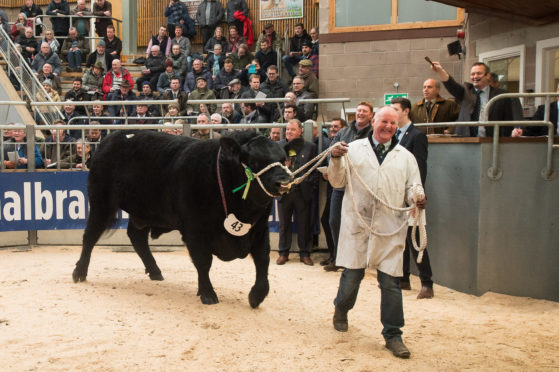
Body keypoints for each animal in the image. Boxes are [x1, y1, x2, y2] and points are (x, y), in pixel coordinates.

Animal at [72, 131, 290, 308]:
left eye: (284, 160)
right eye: (254, 162)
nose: (284, 182)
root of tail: (112, 138)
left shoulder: (259, 229)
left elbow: (263, 260)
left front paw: (257, 295)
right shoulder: (195, 230)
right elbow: (203, 262)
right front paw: (208, 293)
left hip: (143, 211)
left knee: (137, 237)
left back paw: (155, 271)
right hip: (101, 203)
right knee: (90, 236)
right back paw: (79, 272)